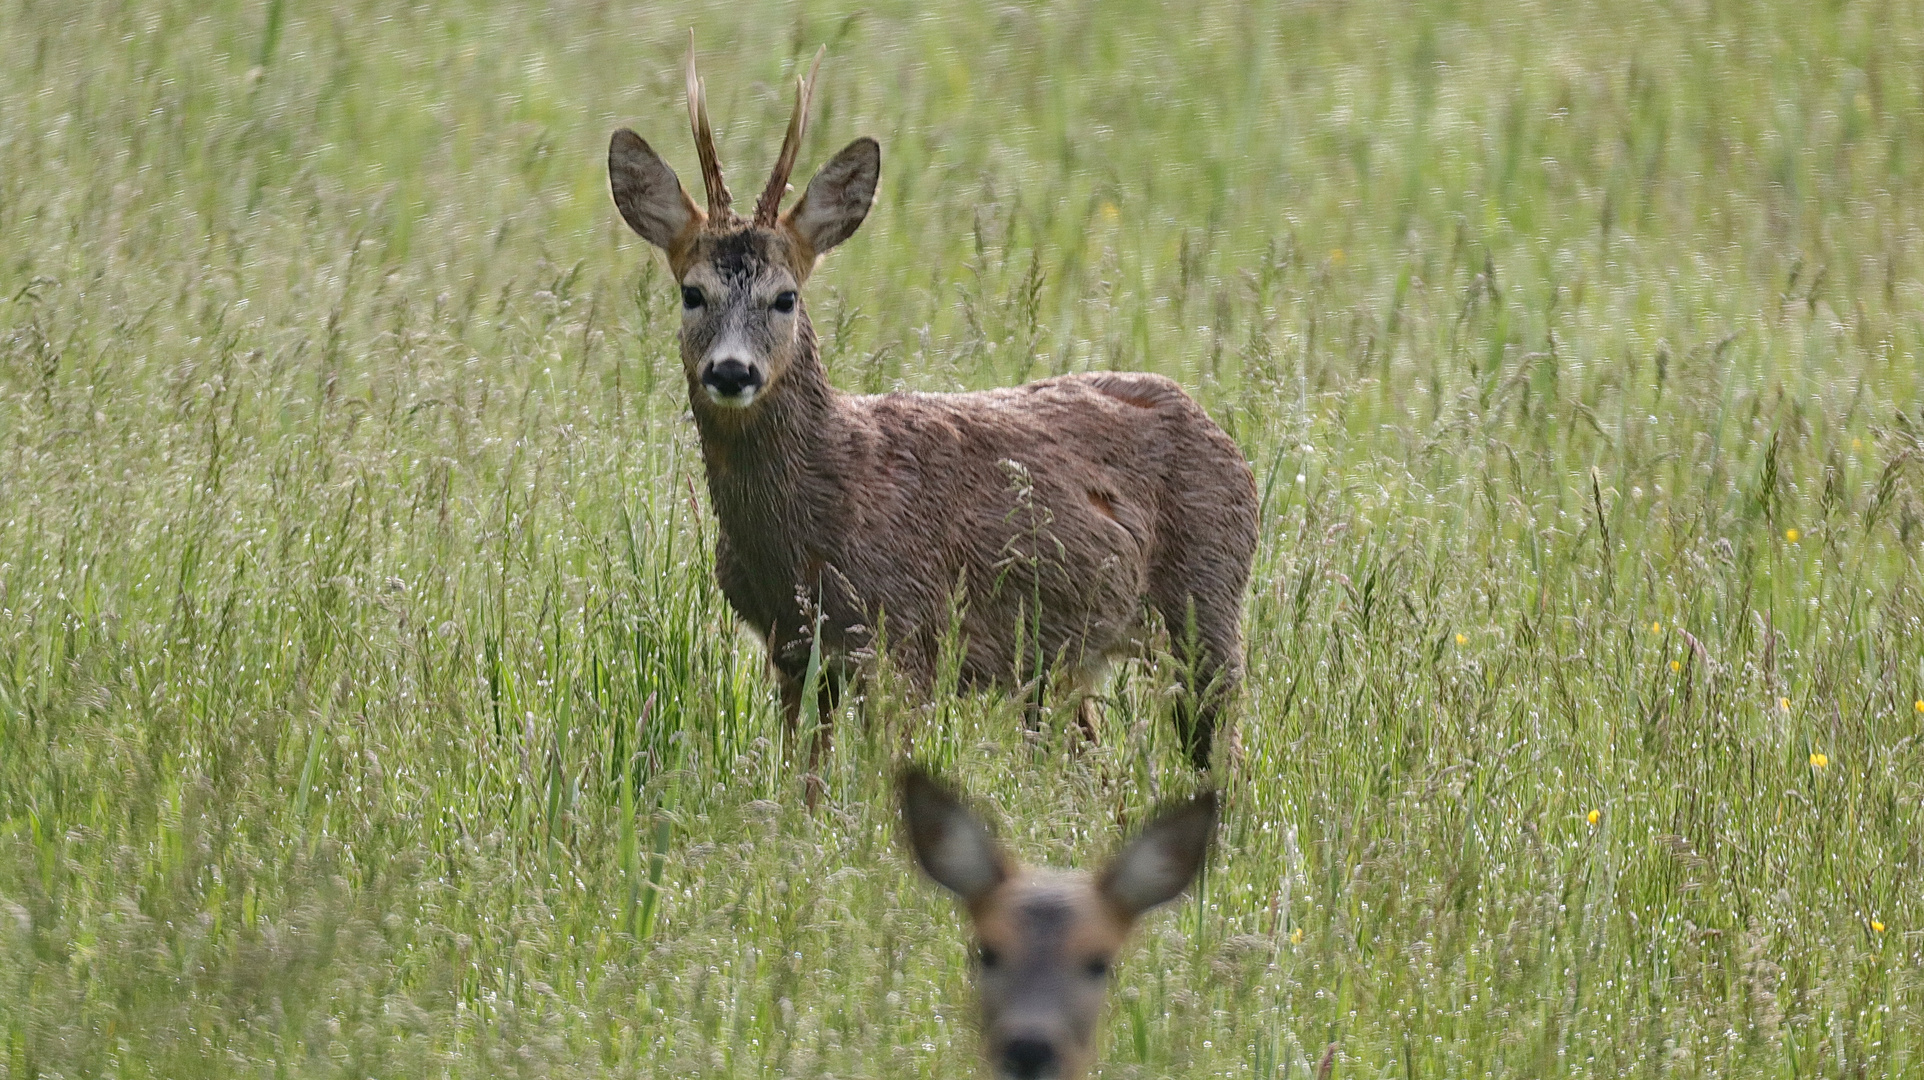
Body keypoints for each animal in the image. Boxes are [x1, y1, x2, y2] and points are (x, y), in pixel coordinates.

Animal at [604, 42, 1262, 777]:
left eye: (785, 298)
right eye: (692, 293)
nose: (731, 370)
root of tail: (1228, 444)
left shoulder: (906, 633)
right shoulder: (792, 649)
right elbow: (804, 778)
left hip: (1206, 604)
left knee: (1226, 751)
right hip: (1064, 665)